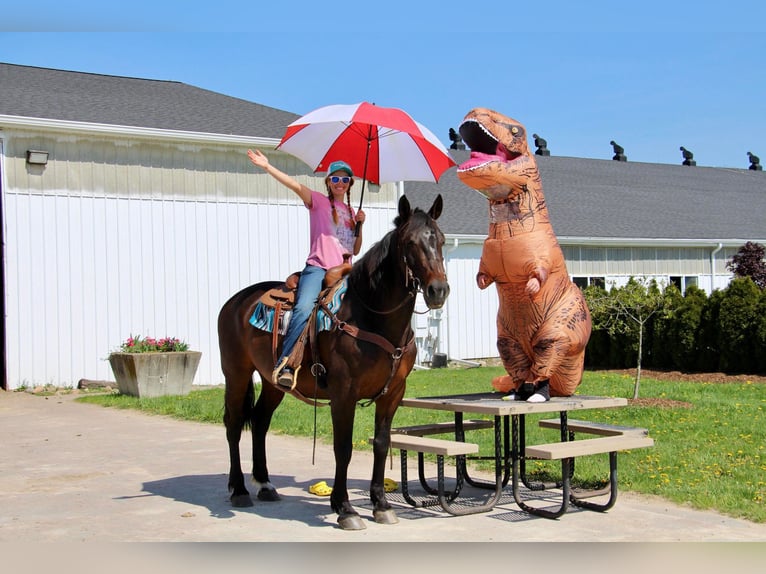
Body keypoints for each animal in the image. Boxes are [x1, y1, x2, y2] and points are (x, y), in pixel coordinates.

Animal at [218, 195, 450, 532]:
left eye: (441, 240)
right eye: (409, 242)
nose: (438, 290)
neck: (373, 316)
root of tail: (235, 301)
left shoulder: (393, 393)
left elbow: (382, 444)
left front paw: (380, 504)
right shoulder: (344, 394)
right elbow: (344, 448)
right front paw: (345, 508)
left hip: (272, 381)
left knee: (260, 422)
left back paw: (264, 484)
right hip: (236, 373)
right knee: (235, 424)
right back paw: (238, 489)